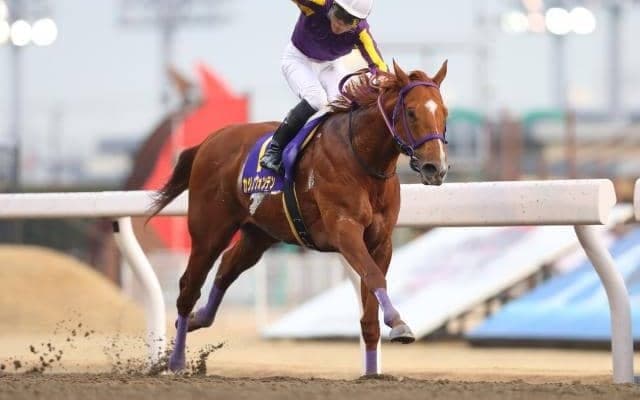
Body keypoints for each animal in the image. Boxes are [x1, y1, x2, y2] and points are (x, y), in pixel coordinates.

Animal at [149, 60, 450, 375]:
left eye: (444, 112)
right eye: (411, 112)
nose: (435, 168)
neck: (362, 158)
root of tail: (210, 140)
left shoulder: (381, 241)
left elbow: (370, 304)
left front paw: (372, 371)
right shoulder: (344, 230)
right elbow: (373, 275)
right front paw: (399, 324)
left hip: (259, 234)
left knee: (228, 267)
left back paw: (199, 319)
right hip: (209, 231)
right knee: (188, 287)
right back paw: (176, 360)